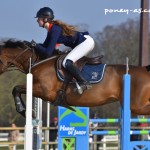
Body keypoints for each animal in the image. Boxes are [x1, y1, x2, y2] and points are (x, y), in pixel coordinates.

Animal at [0, 39, 150, 117]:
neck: (39, 61)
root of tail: (145, 70)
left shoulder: (44, 92)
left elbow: (16, 88)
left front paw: (23, 111)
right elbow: (17, 89)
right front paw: (25, 111)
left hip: (135, 105)